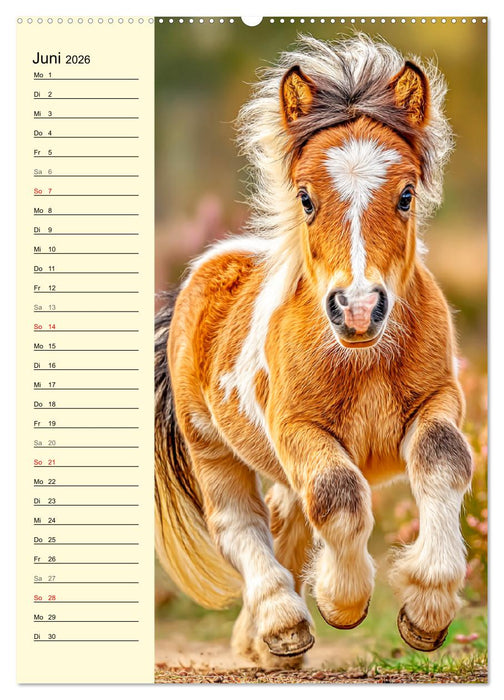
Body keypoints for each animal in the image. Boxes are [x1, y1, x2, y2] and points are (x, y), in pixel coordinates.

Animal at [154, 34, 474, 668]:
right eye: (304, 197)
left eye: (405, 194)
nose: (357, 308)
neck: (363, 359)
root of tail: (202, 270)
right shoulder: (298, 426)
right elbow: (338, 497)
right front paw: (341, 602)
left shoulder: (438, 400)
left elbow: (445, 459)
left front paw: (426, 610)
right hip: (211, 445)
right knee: (241, 524)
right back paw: (282, 626)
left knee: (285, 519)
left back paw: (258, 642)